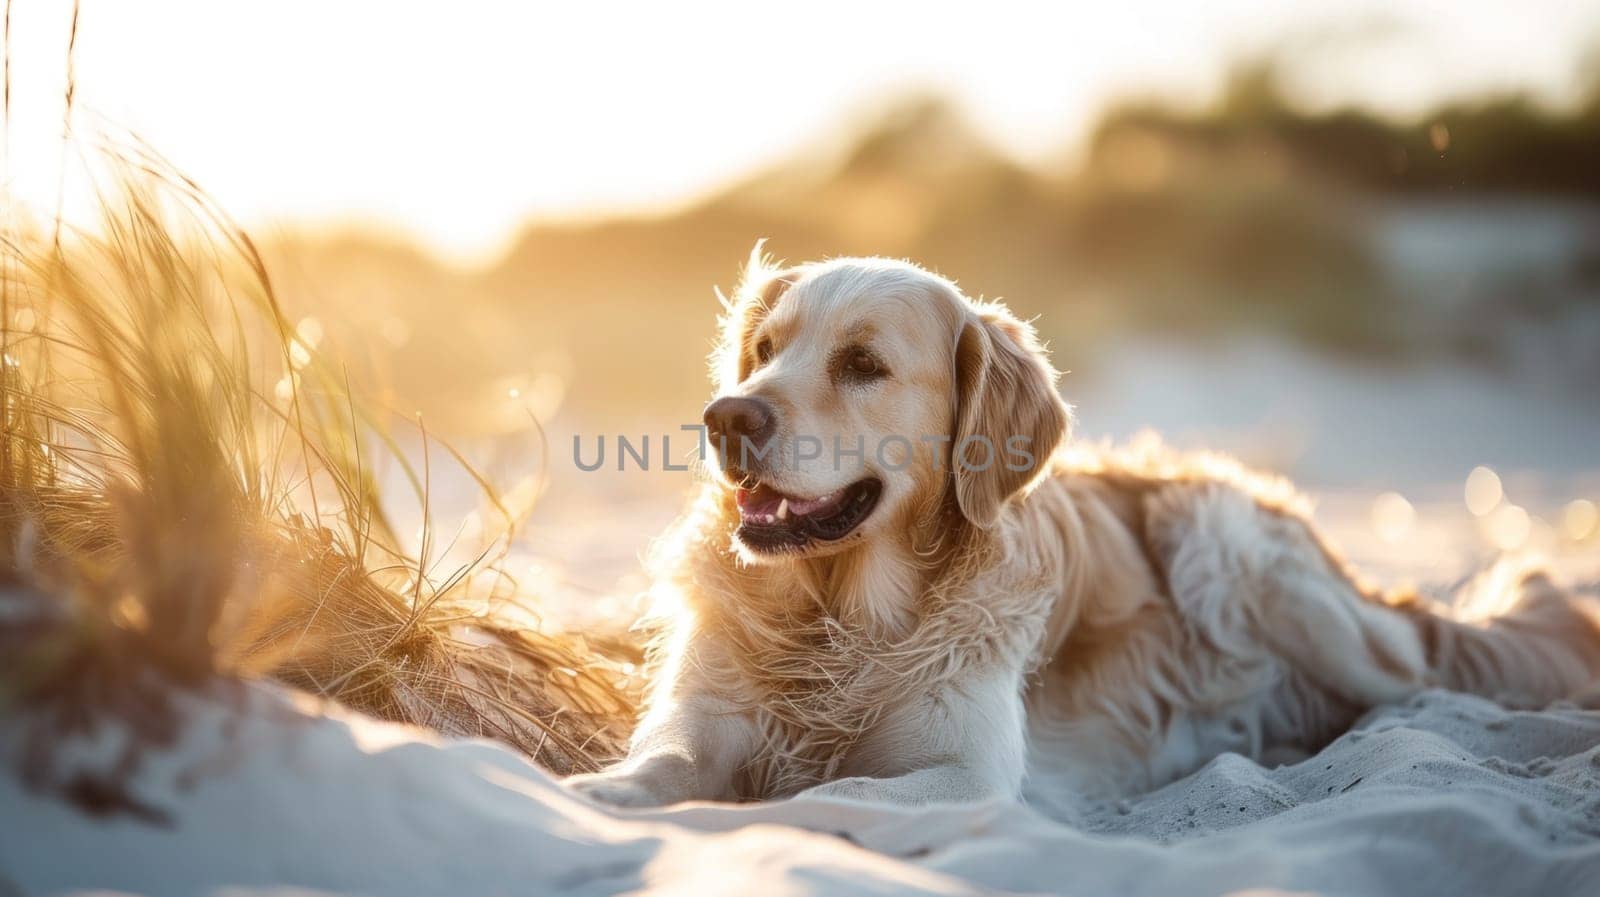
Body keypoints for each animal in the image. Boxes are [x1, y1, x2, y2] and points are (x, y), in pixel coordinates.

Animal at [566, 246, 1600, 805]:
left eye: (863, 364)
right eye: (765, 349)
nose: (726, 417)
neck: (837, 620)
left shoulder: (967, 771)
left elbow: (826, 788)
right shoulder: (702, 721)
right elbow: (659, 768)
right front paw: (587, 794)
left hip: (1225, 543)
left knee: (1416, 680)